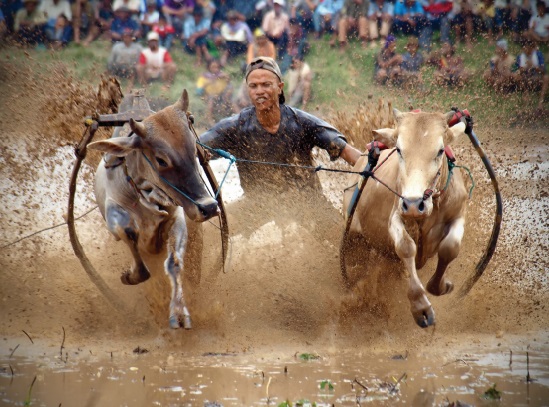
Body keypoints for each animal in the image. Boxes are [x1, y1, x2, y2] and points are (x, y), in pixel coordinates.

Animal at [88, 91, 218, 330]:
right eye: (161, 160)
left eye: (194, 151)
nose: (209, 207)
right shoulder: (114, 217)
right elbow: (134, 246)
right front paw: (129, 276)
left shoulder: (176, 219)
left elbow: (174, 263)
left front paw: (179, 313)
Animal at [342, 110, 466, 330]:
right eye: (399, 150)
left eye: (440, 150)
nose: (415, 204)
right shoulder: (396, 215)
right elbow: (406, 247)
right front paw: (420, 307)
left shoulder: (459, 213)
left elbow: (450, 248)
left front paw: (441, 285)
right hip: (355, 240)